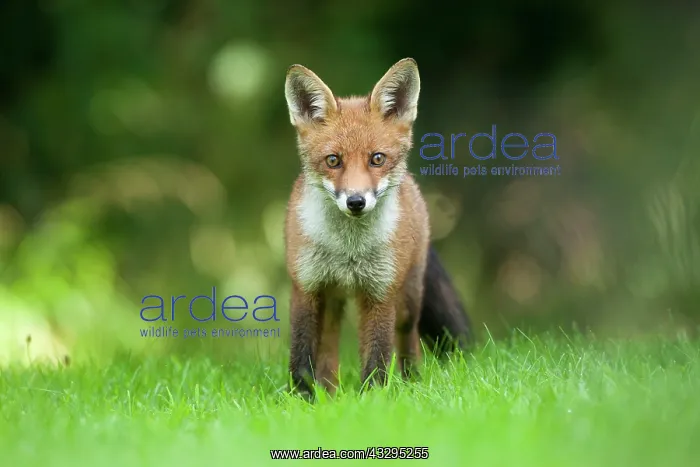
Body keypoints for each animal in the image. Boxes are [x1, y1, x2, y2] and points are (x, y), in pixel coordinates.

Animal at [283, 58, 472, 398]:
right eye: (333, 160)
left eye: (377, 159)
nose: (356, 202)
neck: (347, 250)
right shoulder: (306, 286)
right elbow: (302, 354)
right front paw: (303, 399)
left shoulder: (380, 291)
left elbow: (378, 355)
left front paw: (373, 400)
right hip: (332, 302)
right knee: (329, 347)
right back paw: (329, 394)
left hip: (408, 299)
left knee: (408, 341)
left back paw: (412, 383)